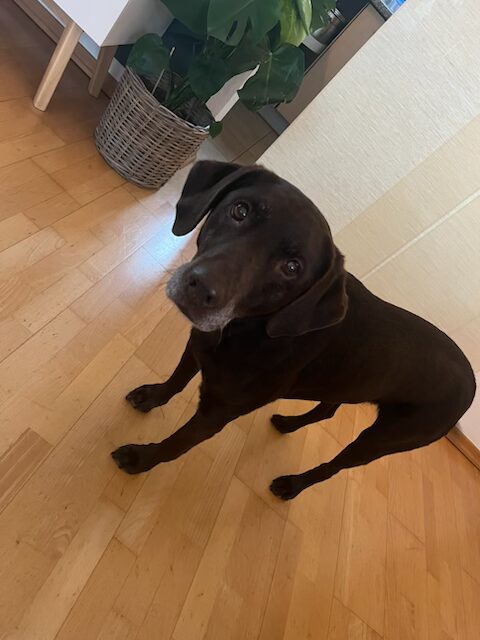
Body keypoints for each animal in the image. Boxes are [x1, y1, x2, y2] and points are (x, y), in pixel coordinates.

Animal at [111, 160, 476, 500]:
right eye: (240, 210)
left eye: (291, 268)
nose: (201, 289)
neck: (245, 331)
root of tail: (472, 385)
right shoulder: (198, 346)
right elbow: (175, 381)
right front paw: (151, 397)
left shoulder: (217, 412)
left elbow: (176, 444)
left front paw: (140, 459)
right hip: (345, 385)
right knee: (327, 410)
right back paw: (288, 423)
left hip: (382, 439)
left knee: (333, 467)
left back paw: (293, 485)